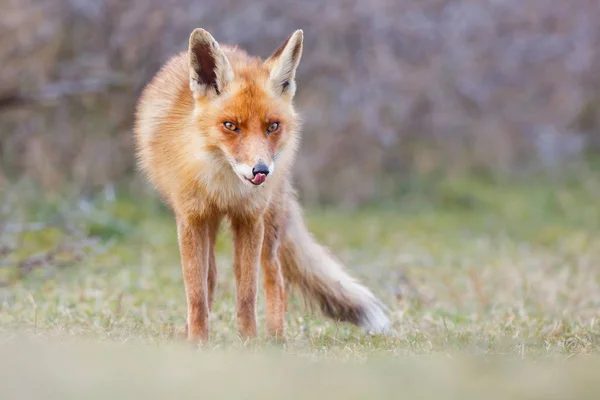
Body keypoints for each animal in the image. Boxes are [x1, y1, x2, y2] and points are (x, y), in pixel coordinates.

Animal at [134, 28, 392, 342]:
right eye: (231, 126)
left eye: (272, 126)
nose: (261, 171)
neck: (225, 189)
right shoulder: (191, 220)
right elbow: (196, 293)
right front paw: (197, 342)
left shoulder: (249, 219)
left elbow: (247, 293)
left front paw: (250, 343)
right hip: (211, 225)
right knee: (211, 278)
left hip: (269, 225)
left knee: (275, 278)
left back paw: (276, 339)